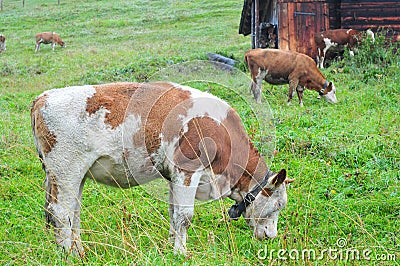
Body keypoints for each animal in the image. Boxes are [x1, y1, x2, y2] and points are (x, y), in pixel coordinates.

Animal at [31, 81, 294, 256]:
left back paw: (78, 249)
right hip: (65, 170)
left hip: (74, 175)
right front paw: (182, 252)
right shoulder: (188, 171)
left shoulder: (173, 175)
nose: (271, 236)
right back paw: (69, 253)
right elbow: (185, 216)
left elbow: (173, 212)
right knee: (61, 212)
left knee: (73, 212)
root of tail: (43, 97)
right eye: (278, 205)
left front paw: (171, 246)